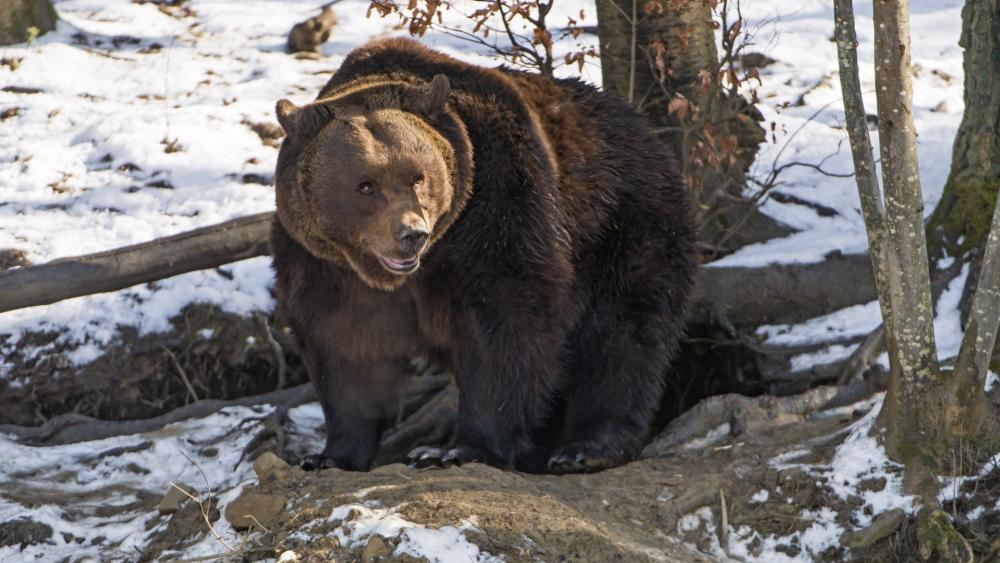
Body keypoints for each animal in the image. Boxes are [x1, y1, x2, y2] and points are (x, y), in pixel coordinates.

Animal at [270, 37, 697, 474]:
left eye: (418, 176)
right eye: (365, 184)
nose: (412, 235)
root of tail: (645, 130)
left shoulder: (497, 204)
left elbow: (503, 319)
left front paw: (453, 450)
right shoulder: (323, 260)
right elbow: (344, 344)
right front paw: (328, 455)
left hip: (621, 224)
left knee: (621, 333)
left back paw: (586, 447)